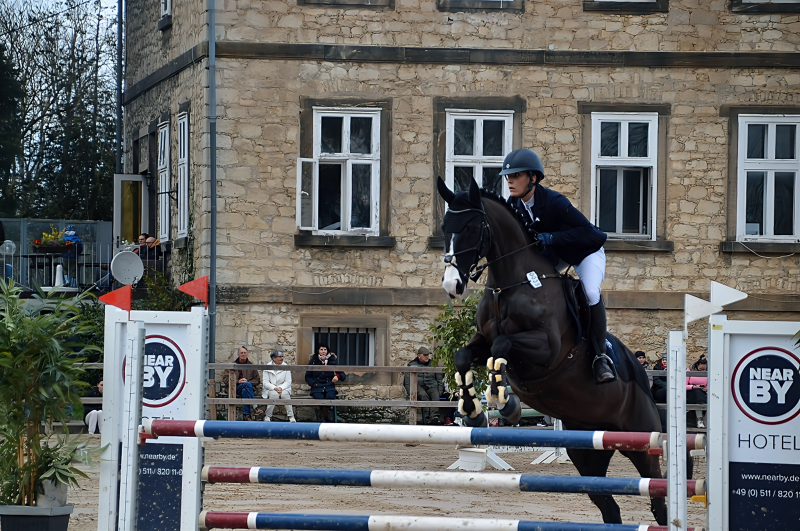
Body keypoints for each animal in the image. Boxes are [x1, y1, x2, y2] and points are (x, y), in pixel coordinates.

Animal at [438, 177, 668, 524]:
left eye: (472, 227)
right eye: (444, 227)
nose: (451, 285)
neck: (512, 283)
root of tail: (641, 376)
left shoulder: (547, 349)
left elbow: (503, 347)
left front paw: (506, 402)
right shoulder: (481, 339)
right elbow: (464, 356)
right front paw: (473, 410)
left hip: (641, 441)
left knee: (657, 497)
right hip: (586, 451)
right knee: (609, 506)